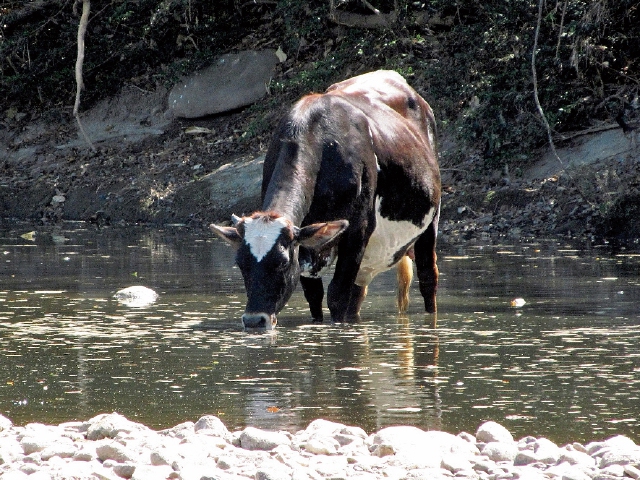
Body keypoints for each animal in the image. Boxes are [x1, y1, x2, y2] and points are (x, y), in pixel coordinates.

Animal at [211, 69, 440, 328]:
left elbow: (337, 295)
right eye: (241, 264)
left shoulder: (357, 231)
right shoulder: (305, 244)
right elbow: (315, 296)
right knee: (358, 294)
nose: (253, 320)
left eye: (282, 262)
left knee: (427, 276)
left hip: (431, 220)